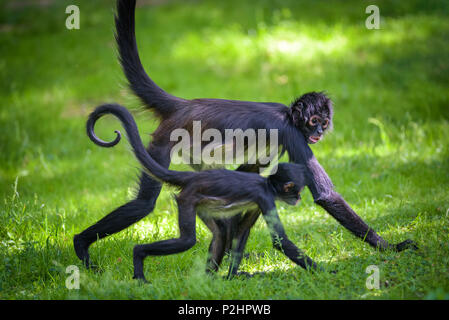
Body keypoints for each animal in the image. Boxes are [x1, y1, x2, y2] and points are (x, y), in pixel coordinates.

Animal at [87, 104, 312, 282]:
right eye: (298, 191)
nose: (300, 198)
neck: (267, 184)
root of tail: (192, 178)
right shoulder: (265, 198)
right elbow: (280, 241)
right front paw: (320, 271)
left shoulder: (259, 203)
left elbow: (242, 232)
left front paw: (230, 277)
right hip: (187, 199)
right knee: (187, 241)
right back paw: (139, 255)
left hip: (201, 203)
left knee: (220, 234)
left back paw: (210, 278)